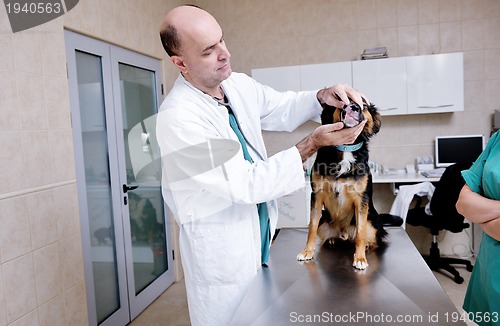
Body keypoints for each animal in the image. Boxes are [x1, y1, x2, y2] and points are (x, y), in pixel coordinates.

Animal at [296, 99, 386, 270]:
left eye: (364, 105)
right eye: (343, 101)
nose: (354, 107)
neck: (345, 147)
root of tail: (344, 233)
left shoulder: (361, 198)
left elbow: (360, 232)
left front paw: (360, 258)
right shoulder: (316, 195)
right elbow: (311, 227)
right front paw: (307, 251)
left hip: (372, 223)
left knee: (369, 237)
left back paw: (366, 245)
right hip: (325, 220)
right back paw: (332, 239)